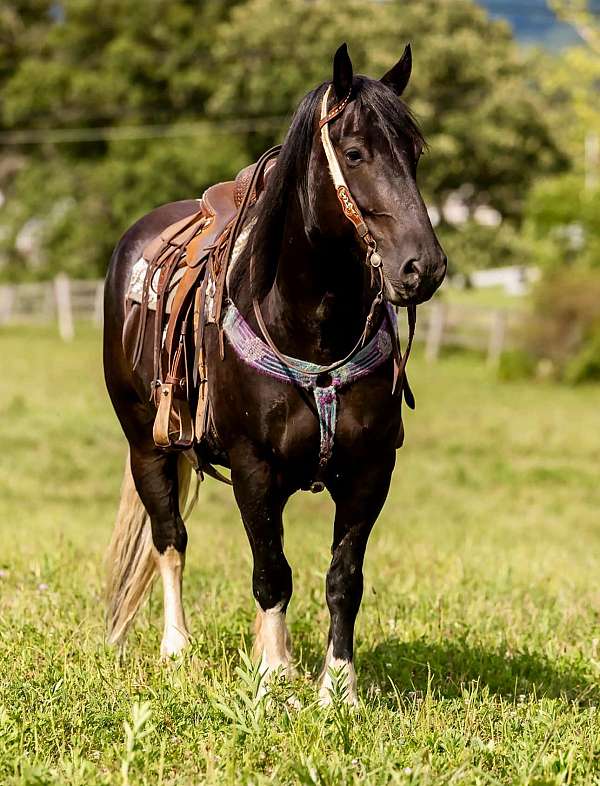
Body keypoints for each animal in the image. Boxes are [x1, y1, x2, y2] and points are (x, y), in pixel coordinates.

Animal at [103, 44, 446, 704]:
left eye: (415, 152)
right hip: (145, 444)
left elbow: (343, 578)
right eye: (356, 152)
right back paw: (176, 647)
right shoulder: (252, 467)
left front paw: (338, 687)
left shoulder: (369, 470)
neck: (308, 327)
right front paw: (272, 676)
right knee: (169, 539)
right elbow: (271, 573)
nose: (424, 267)